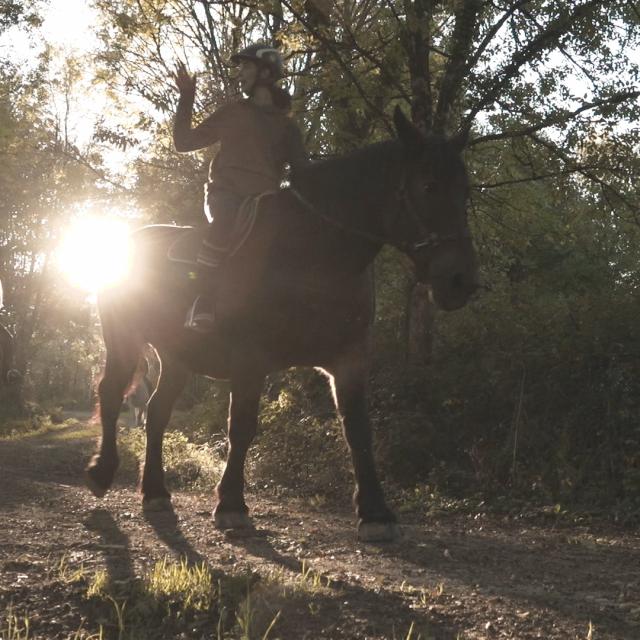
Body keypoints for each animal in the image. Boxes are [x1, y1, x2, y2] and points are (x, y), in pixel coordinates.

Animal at [85, 109, 478, 540]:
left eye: (465, 191)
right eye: (428, 185)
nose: (461, 280)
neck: (310, 254)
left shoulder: (350, 359)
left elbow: (358, 430)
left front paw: (375, 512)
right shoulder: (249, 360)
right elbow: (241, 426)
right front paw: (231, 505)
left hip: (176, 356)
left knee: (156, 413)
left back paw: (155, 492)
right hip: (123, 340)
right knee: (111, 395)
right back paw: (101, 473)